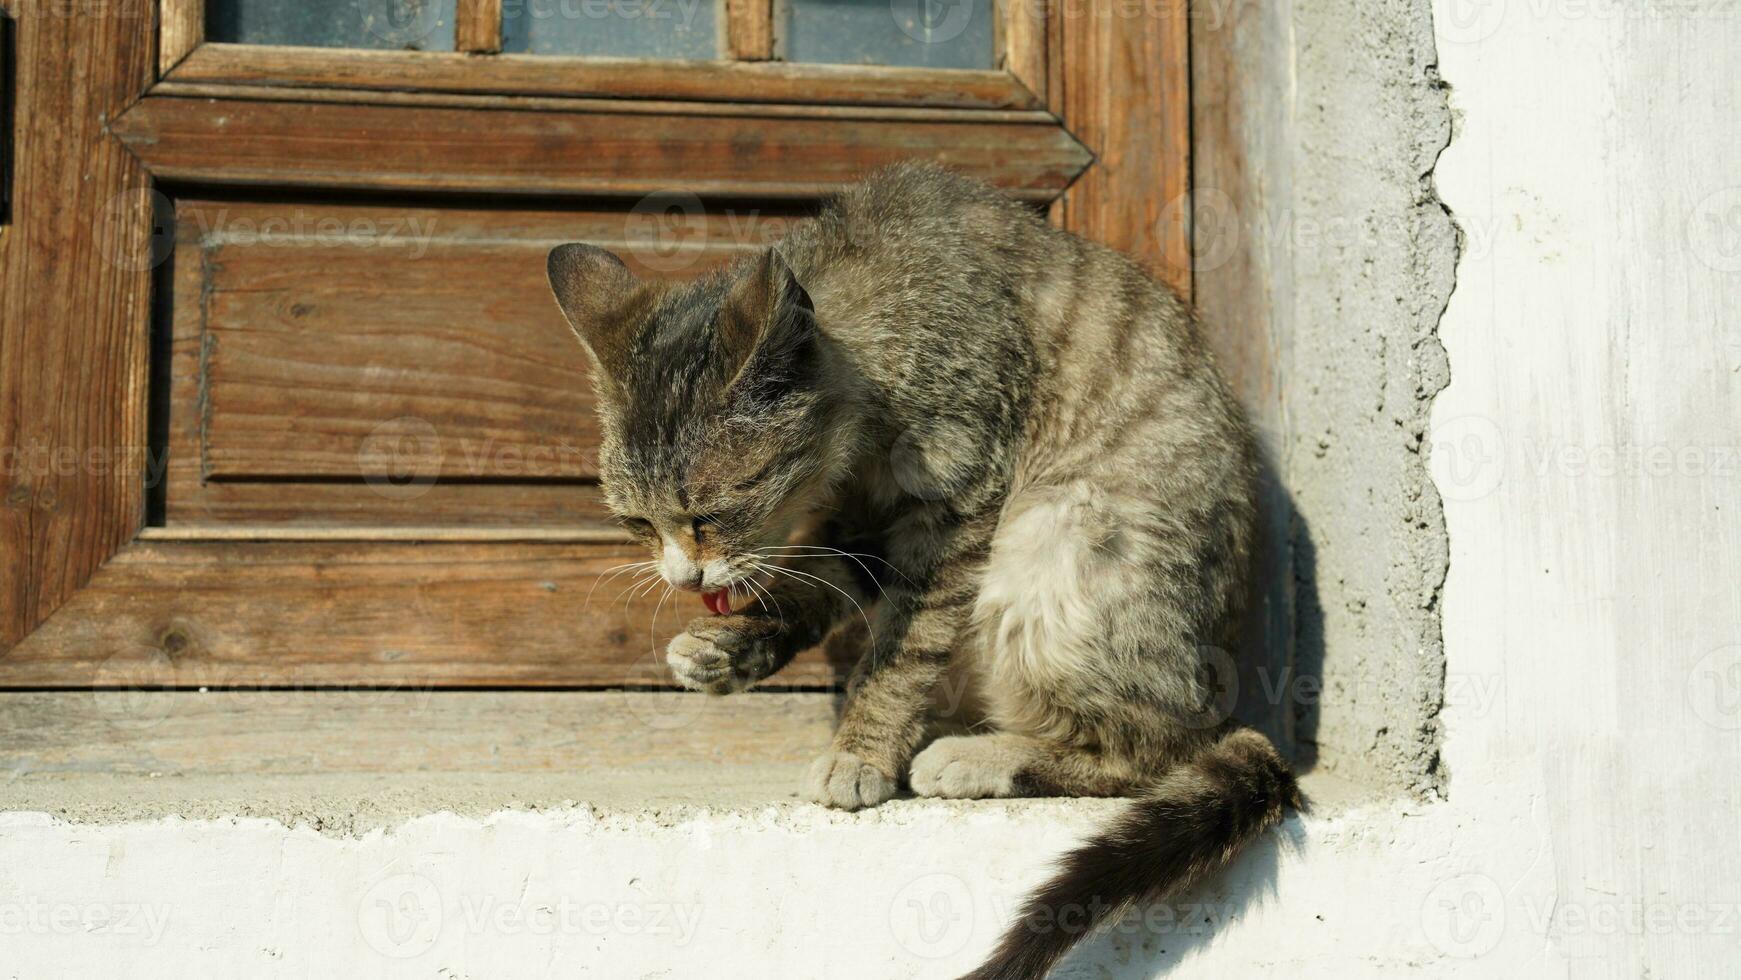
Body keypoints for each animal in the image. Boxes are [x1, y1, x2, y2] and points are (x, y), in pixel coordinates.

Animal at [543, 164, 1295, 974]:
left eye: (709, 514)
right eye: (637, 522)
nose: (683, 580)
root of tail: (1219, 694)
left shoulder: (957, 509)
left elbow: (900, 652)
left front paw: (859, 750)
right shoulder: (857, 522)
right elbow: (809, 585)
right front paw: (730, 648)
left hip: (1052, 543)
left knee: (1157, 747)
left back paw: (980, 757)